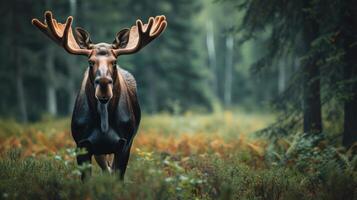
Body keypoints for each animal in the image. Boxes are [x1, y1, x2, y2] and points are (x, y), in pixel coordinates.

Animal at [31, 10, 167, 180]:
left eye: (114, 62)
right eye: (90, 62)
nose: (103, 84)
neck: (103, 123)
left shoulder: (125, 143)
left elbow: (117, 177)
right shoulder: (82, 144)